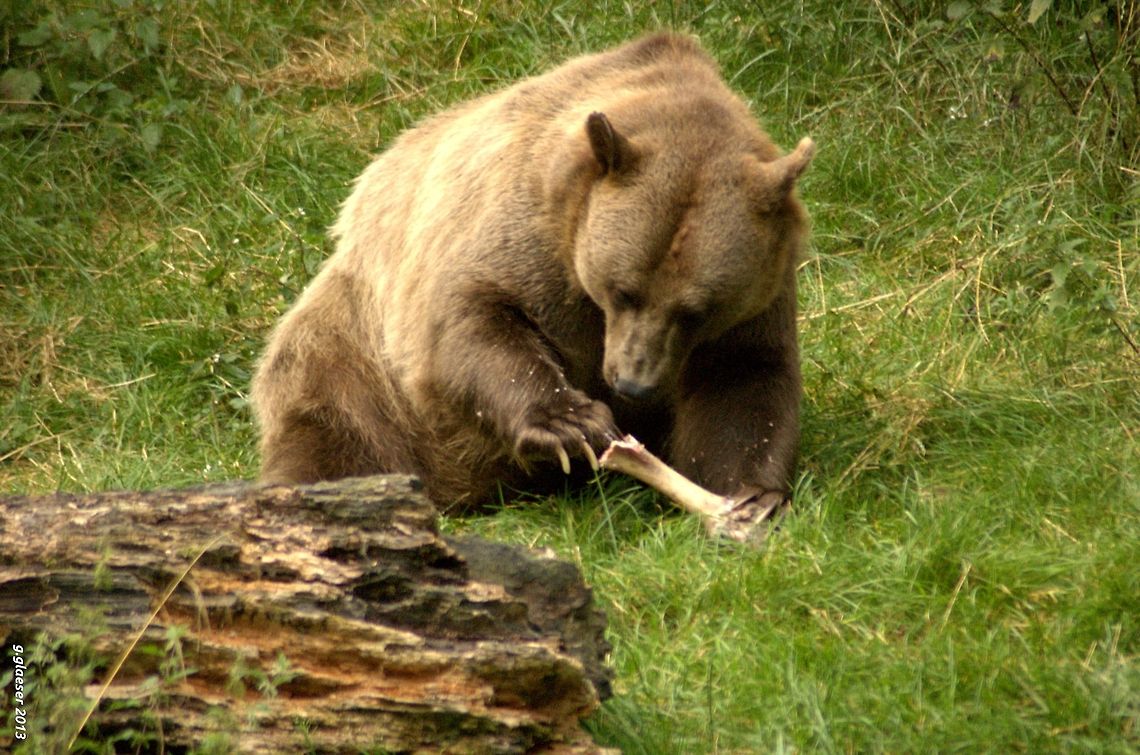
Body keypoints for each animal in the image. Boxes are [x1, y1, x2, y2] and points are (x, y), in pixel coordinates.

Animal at [250, 32, 814, 512]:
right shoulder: (524, 232)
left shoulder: (760, 293)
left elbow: (743, 381)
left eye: (696, 310)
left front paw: (749, 496)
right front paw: (571, 424)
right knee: (333, 428)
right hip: (355, 363)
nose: (633, 383)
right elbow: (472, 318)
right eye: (623, 291)